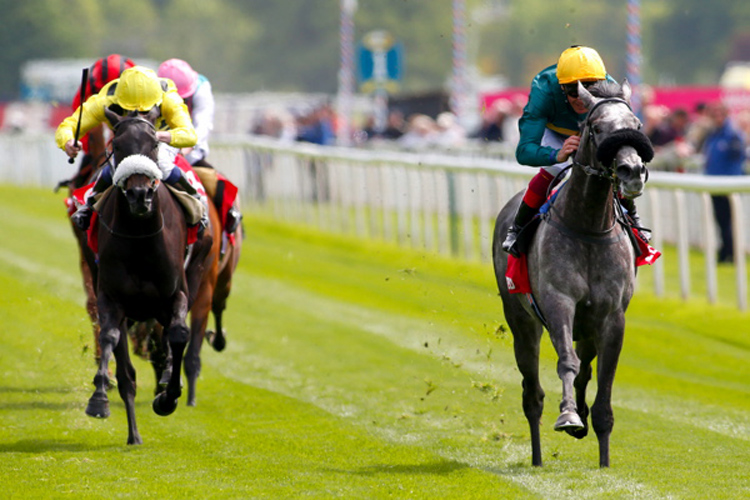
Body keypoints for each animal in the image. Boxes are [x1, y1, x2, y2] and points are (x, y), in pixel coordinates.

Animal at [490, 79, 656, 468]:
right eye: (595, 128)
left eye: (637, 125)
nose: (632, 171)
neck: (589, 225)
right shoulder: (558, 303)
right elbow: (566, 362)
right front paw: (567, 415)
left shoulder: (611, 316)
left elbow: (602, 383)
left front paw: (603, 458)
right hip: (522, 321)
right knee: (532, 393)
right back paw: (537, 456)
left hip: (587, 327)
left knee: (584, 370)